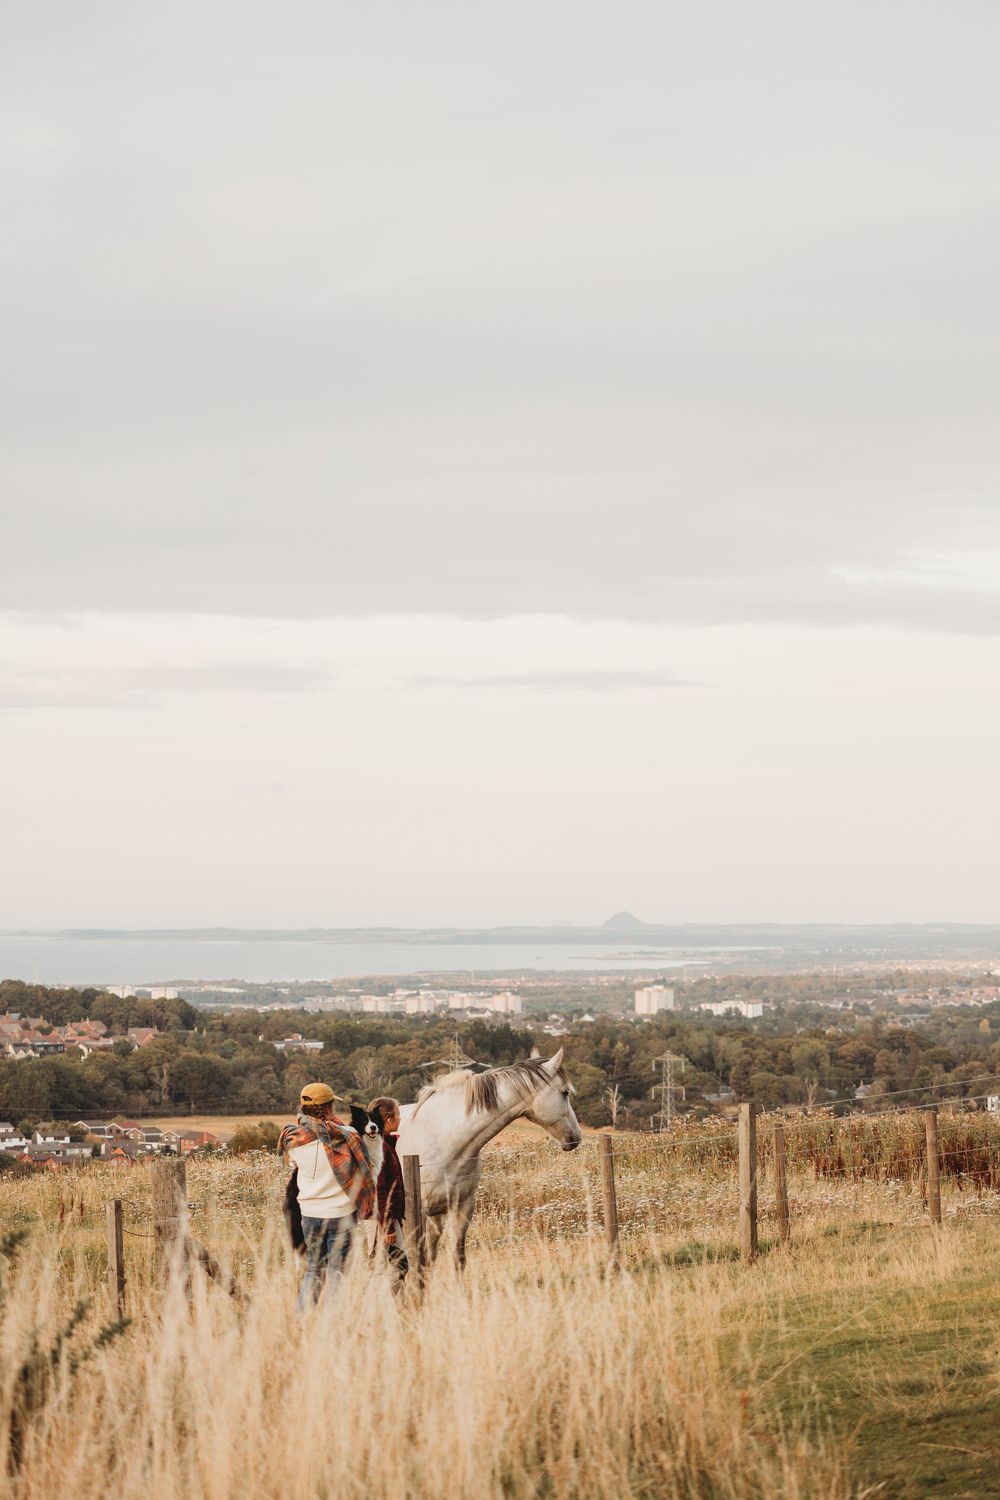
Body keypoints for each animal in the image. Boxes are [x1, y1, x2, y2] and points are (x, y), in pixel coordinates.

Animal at [395, 1047, 580, 1266]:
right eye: (565, 1092)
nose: (575, 1137)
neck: (444, 1138)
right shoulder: (418, 1213)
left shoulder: (461, 1208)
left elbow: (455, 1258)